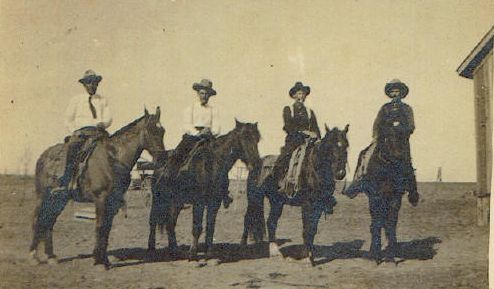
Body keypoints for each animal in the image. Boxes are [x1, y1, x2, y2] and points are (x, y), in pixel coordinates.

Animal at [29, 108, 165, 268]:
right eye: (151, 130)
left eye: (162, 131)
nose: (162, 159)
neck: (112, 159)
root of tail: (43, 156)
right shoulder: (101, 199)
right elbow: (100, 226)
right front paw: (98, 261)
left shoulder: (113, 202)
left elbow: (107, 228)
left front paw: (104, 259)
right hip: (42, 196)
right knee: (37, 219)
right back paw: (33, 256)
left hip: (58, 199)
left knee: (49, 221)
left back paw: (51, 256)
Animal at [148, 119, 260, 258]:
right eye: (245, 137)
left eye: (258, 139)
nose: (257, 164)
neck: (212, 165)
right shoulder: (199, 202)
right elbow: (197, 227)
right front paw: (192, 254)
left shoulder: (215, 202)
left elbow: (210, 226)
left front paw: (209, 251)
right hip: (158, 199)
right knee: (153, 221)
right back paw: (152, 247)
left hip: (177, 202)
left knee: (170, 223)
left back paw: (174, 250)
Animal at [245, 125, 350, 264]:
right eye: (329, 147)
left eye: (346, 146)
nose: (340, 173)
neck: (314, 170)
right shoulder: (307, 205)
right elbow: (306, 230)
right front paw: (307, 257)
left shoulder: (318, 207)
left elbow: (312, 230)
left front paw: (310, 255)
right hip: (254, 199)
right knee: (248, 220)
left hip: (276, 202)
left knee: (271, 222)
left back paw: (275, 251)